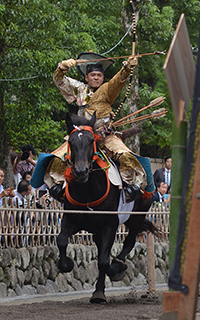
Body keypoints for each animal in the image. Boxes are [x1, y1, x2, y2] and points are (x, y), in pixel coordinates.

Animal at [55, 112, 156, 302]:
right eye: (71, 142)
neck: (87, 191)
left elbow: (104, 261)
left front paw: (116, 270)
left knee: (129, 242)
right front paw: (66, 264)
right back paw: (98, 292)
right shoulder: (71, 219)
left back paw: (117, 266)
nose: (81, 172)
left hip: (138, 214)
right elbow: (62, 240)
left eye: (90, 141)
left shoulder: (110, 225)